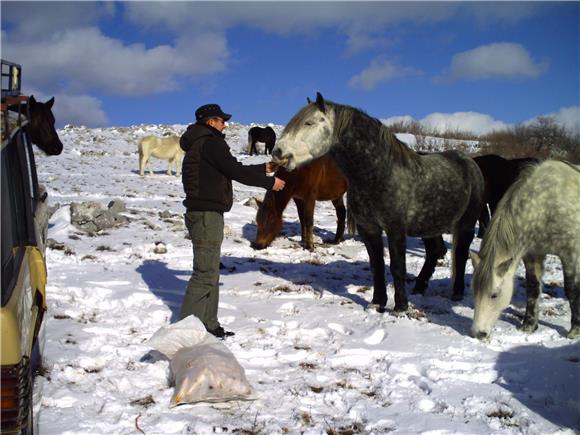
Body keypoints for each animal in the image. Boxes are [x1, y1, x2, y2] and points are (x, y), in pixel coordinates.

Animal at [274, 94, 482, 314]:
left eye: (309, 122)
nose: (278, 151)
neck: (378, 173)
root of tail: (470, 163)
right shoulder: (369, 229)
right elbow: (377, 265)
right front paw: (377, 303)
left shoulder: (395, 229)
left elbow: (397, 266)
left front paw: (400, 307)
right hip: (431, 226)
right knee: (434, 252)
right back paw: (419, 287)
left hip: (466, 224)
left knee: (461, 253)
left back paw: (456, 293)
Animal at [472, 160, 580, 340]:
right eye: (474, 291)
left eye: (494, 295)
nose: (477, 333)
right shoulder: (532, 255)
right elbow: (533, 288)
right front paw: (528, 326)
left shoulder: (570, 255)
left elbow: (572, 290)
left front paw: (575, 330)